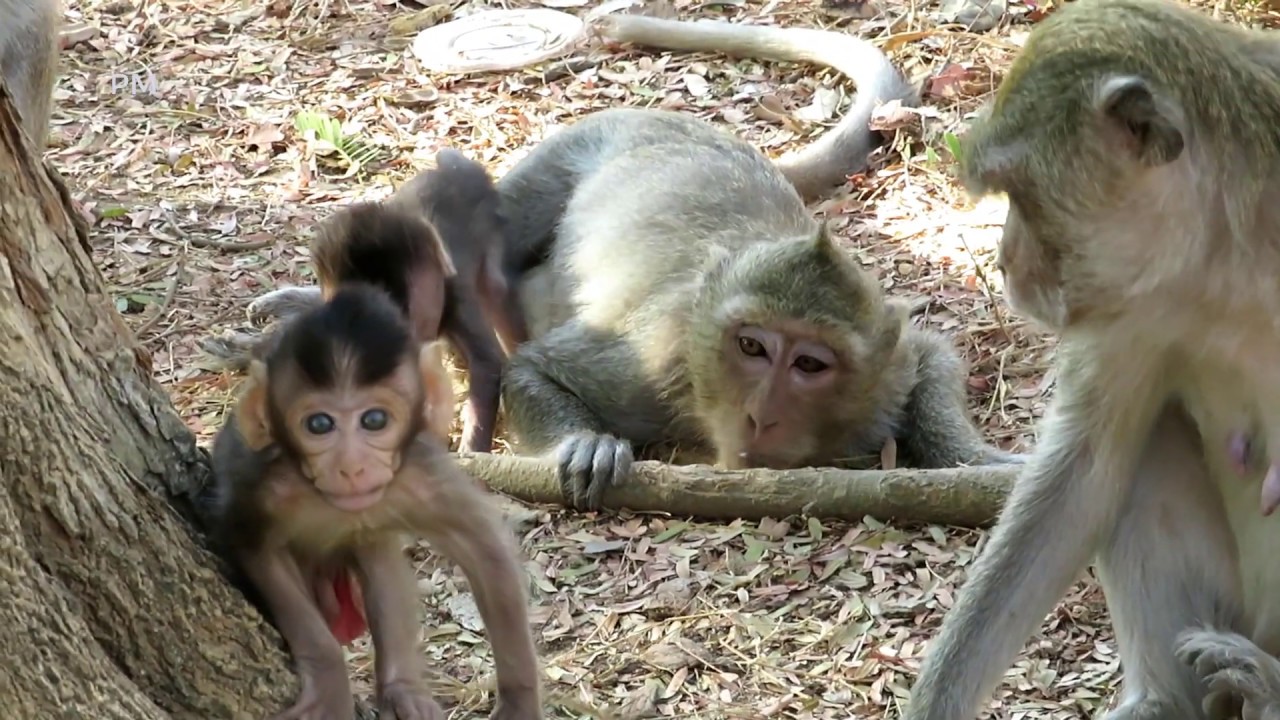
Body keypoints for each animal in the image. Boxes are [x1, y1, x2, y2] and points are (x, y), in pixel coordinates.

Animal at [206, 283, 542, 720]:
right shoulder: (265, 488)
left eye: (375, 420)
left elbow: (485, 552)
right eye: (319, 424)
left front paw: (520, 701)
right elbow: (257, 549)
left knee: (376, 554)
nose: (351, 467)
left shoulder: (420, 479)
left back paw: (401, 688)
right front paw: (330, 681)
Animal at [492, 14, 1020, 511]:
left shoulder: (883, 384)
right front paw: (584, 444)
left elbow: (932, 356)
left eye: (809, 363)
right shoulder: (650, 362)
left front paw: (974, 458)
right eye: (751, 347)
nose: (761, 416)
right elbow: (531, 368)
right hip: (575, 146)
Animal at [894, 1, 1280, 719]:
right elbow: (1082, 475)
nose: (1005, 261)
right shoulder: (1134, 309)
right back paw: (1167, 701)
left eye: (1023, 195)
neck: (1227, 259)